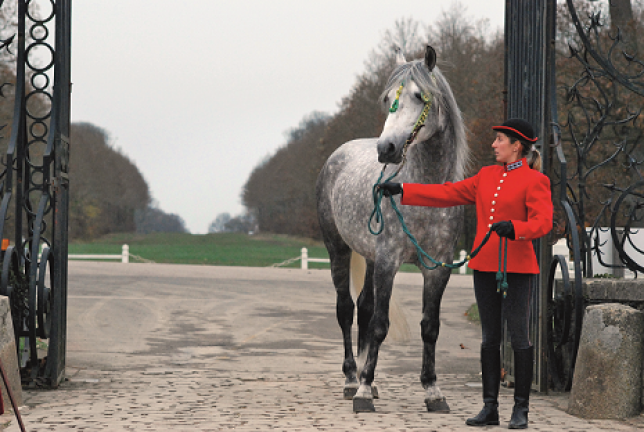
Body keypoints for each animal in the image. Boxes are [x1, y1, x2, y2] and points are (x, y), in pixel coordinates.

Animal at [316, 45, 468, 414]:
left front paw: (433, 391)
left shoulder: (437, 267)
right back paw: (351, 379)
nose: (386, 148)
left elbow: (429, 327)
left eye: (419, 95)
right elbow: (380, 325)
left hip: (369, 257)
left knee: (365, 308)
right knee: (346, 310)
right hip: (338, 250)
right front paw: (362, 393)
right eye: (387, 99)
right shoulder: (389, 261)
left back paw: (367, 378)